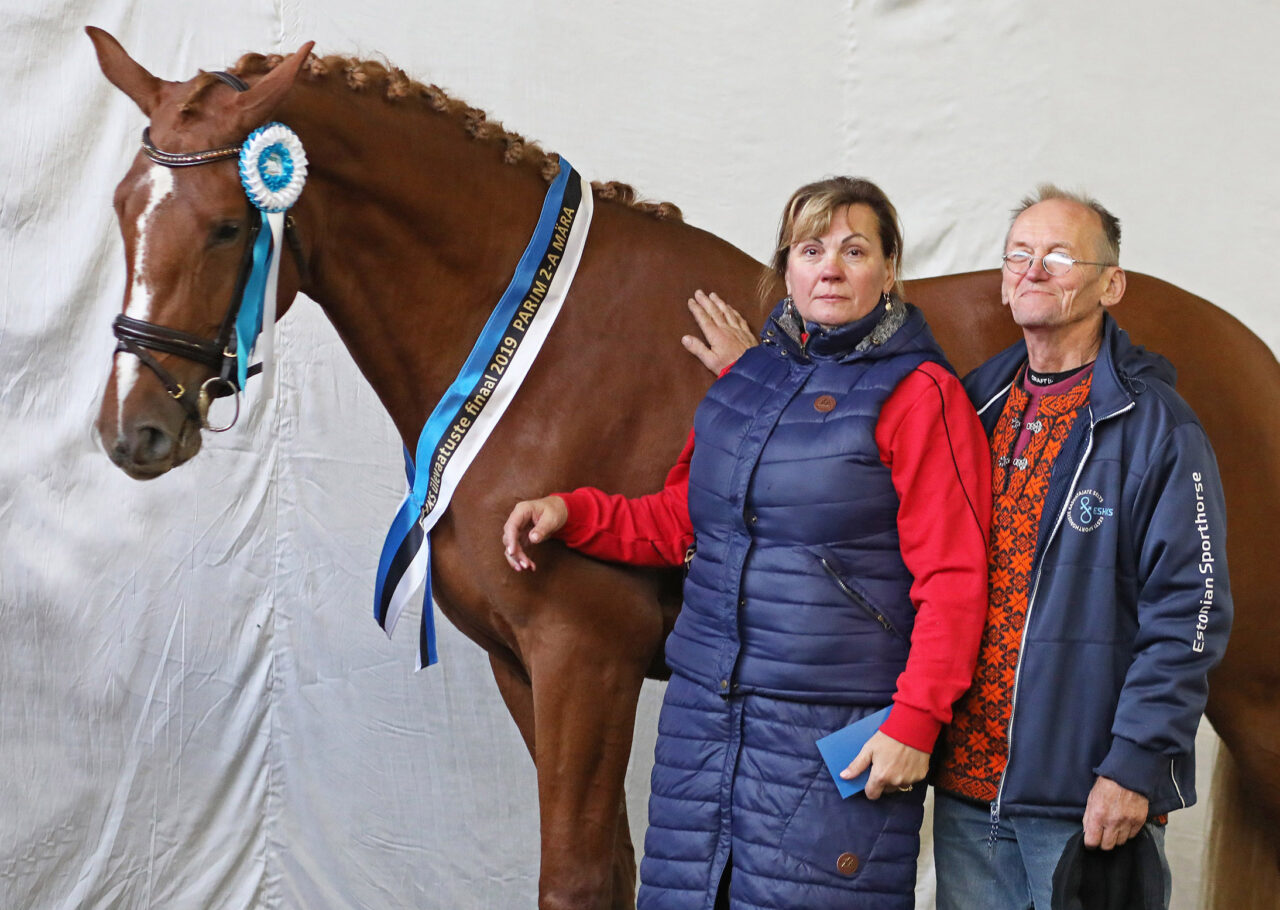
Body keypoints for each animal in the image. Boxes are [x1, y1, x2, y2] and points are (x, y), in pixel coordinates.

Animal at [87, 28, 1280, 909]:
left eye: (232, 223)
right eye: (121, 207)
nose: (133, 428)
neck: (533, 349)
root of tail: (1246, 353)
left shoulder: (586, 660)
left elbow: (573, 875)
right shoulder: (524, 670)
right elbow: (608, 869)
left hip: (1250, 686)